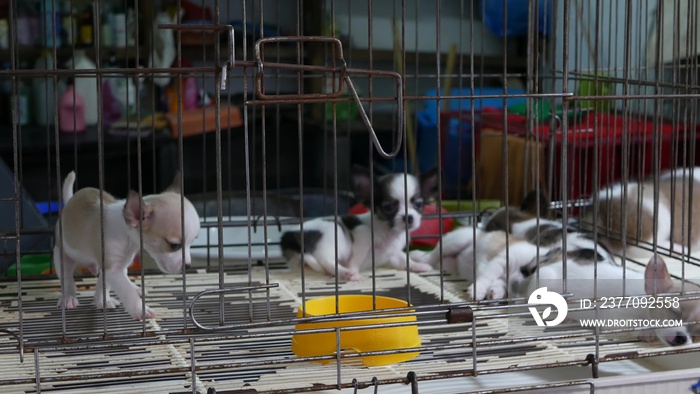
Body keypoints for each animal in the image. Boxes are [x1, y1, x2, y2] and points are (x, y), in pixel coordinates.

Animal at [51, 171, 200, 318]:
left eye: (192, 242)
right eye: (174, 245)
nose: (187, 266)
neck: (126, 235)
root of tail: (68, 202)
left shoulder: (114, 267)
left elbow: (105, 284)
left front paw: (102, 300)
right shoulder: (112, 268)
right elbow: (127, 291)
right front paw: (140, 309)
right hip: (62, 256)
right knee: (67, 279)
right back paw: (68, 297)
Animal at [278, 165, 438, 282]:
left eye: (419, 204)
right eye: (388, 207)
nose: (408, 217)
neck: (388, 232)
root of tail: (290, 235)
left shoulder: (392, 254)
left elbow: (404, 259)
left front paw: (417, 265)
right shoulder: (362, 237)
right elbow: (356, 259)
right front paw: (354, 271)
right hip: (336, 236)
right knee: (327, 259)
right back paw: (346, 273)